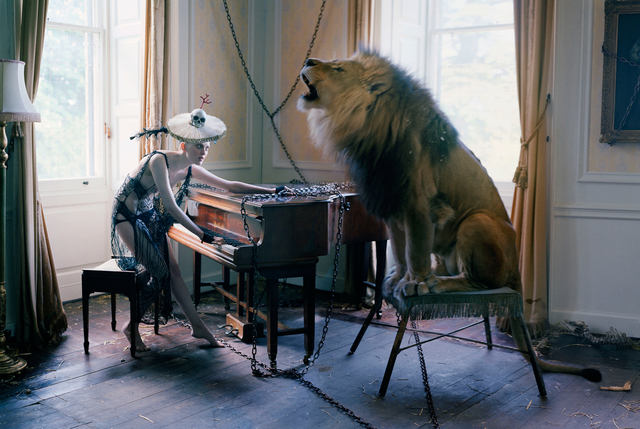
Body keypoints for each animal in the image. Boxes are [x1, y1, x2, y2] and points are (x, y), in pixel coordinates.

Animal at [298, 49, 604, 382]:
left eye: (338, 69)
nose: (309, 61)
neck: (368, 127)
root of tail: (516, 270)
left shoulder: (418, 203)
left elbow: (414, 250)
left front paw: (414, 284)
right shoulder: (392, 206)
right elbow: (400, 250)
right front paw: (397, 280)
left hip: (475, 222)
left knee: (479, 282)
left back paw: (437, 283)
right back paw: (437, 274)